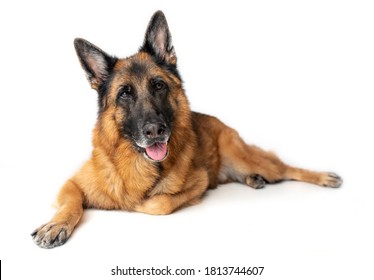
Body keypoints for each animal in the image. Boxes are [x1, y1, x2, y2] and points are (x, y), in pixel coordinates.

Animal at [32, 10, 342, 249]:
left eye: (158, 85)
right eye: (124, 94)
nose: (155, 131)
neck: (137, 163)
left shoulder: (198, 182)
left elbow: (156, 204)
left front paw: (132, 203)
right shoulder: (71, 184)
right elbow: (71, 203)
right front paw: (55, 224)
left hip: (246, 158)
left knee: (286, 168)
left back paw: (321, 177)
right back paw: (255, 180)